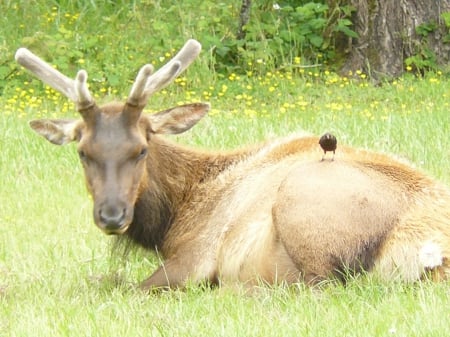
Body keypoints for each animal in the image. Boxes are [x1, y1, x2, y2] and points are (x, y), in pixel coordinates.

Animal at [16, 38, 450, 286]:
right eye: (83, 152)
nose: (111, 215)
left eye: (141, 149)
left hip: (301, 203)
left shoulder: (195, 256)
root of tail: (431, 251)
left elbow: (122, 287)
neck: (177, 217)